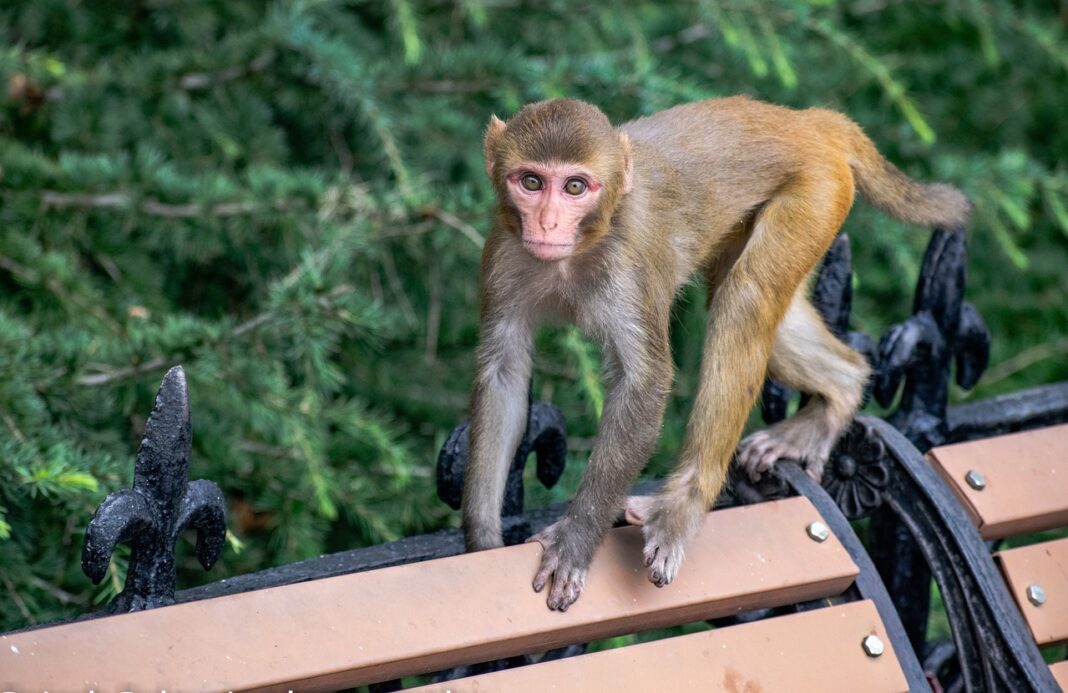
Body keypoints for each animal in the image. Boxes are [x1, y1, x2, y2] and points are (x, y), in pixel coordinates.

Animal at [462, 97, 969, 612]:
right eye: (531, 182)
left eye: (575, 186)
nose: (546, 223)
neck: (577, 252)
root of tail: (805, 120)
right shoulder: (502, 251)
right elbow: (503, 373)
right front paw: (483, 543)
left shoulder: (628, 265)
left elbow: (644, 384)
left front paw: (576, 542)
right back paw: (842, 389)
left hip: (815, 192)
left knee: (744, 297)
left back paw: (682, 507)